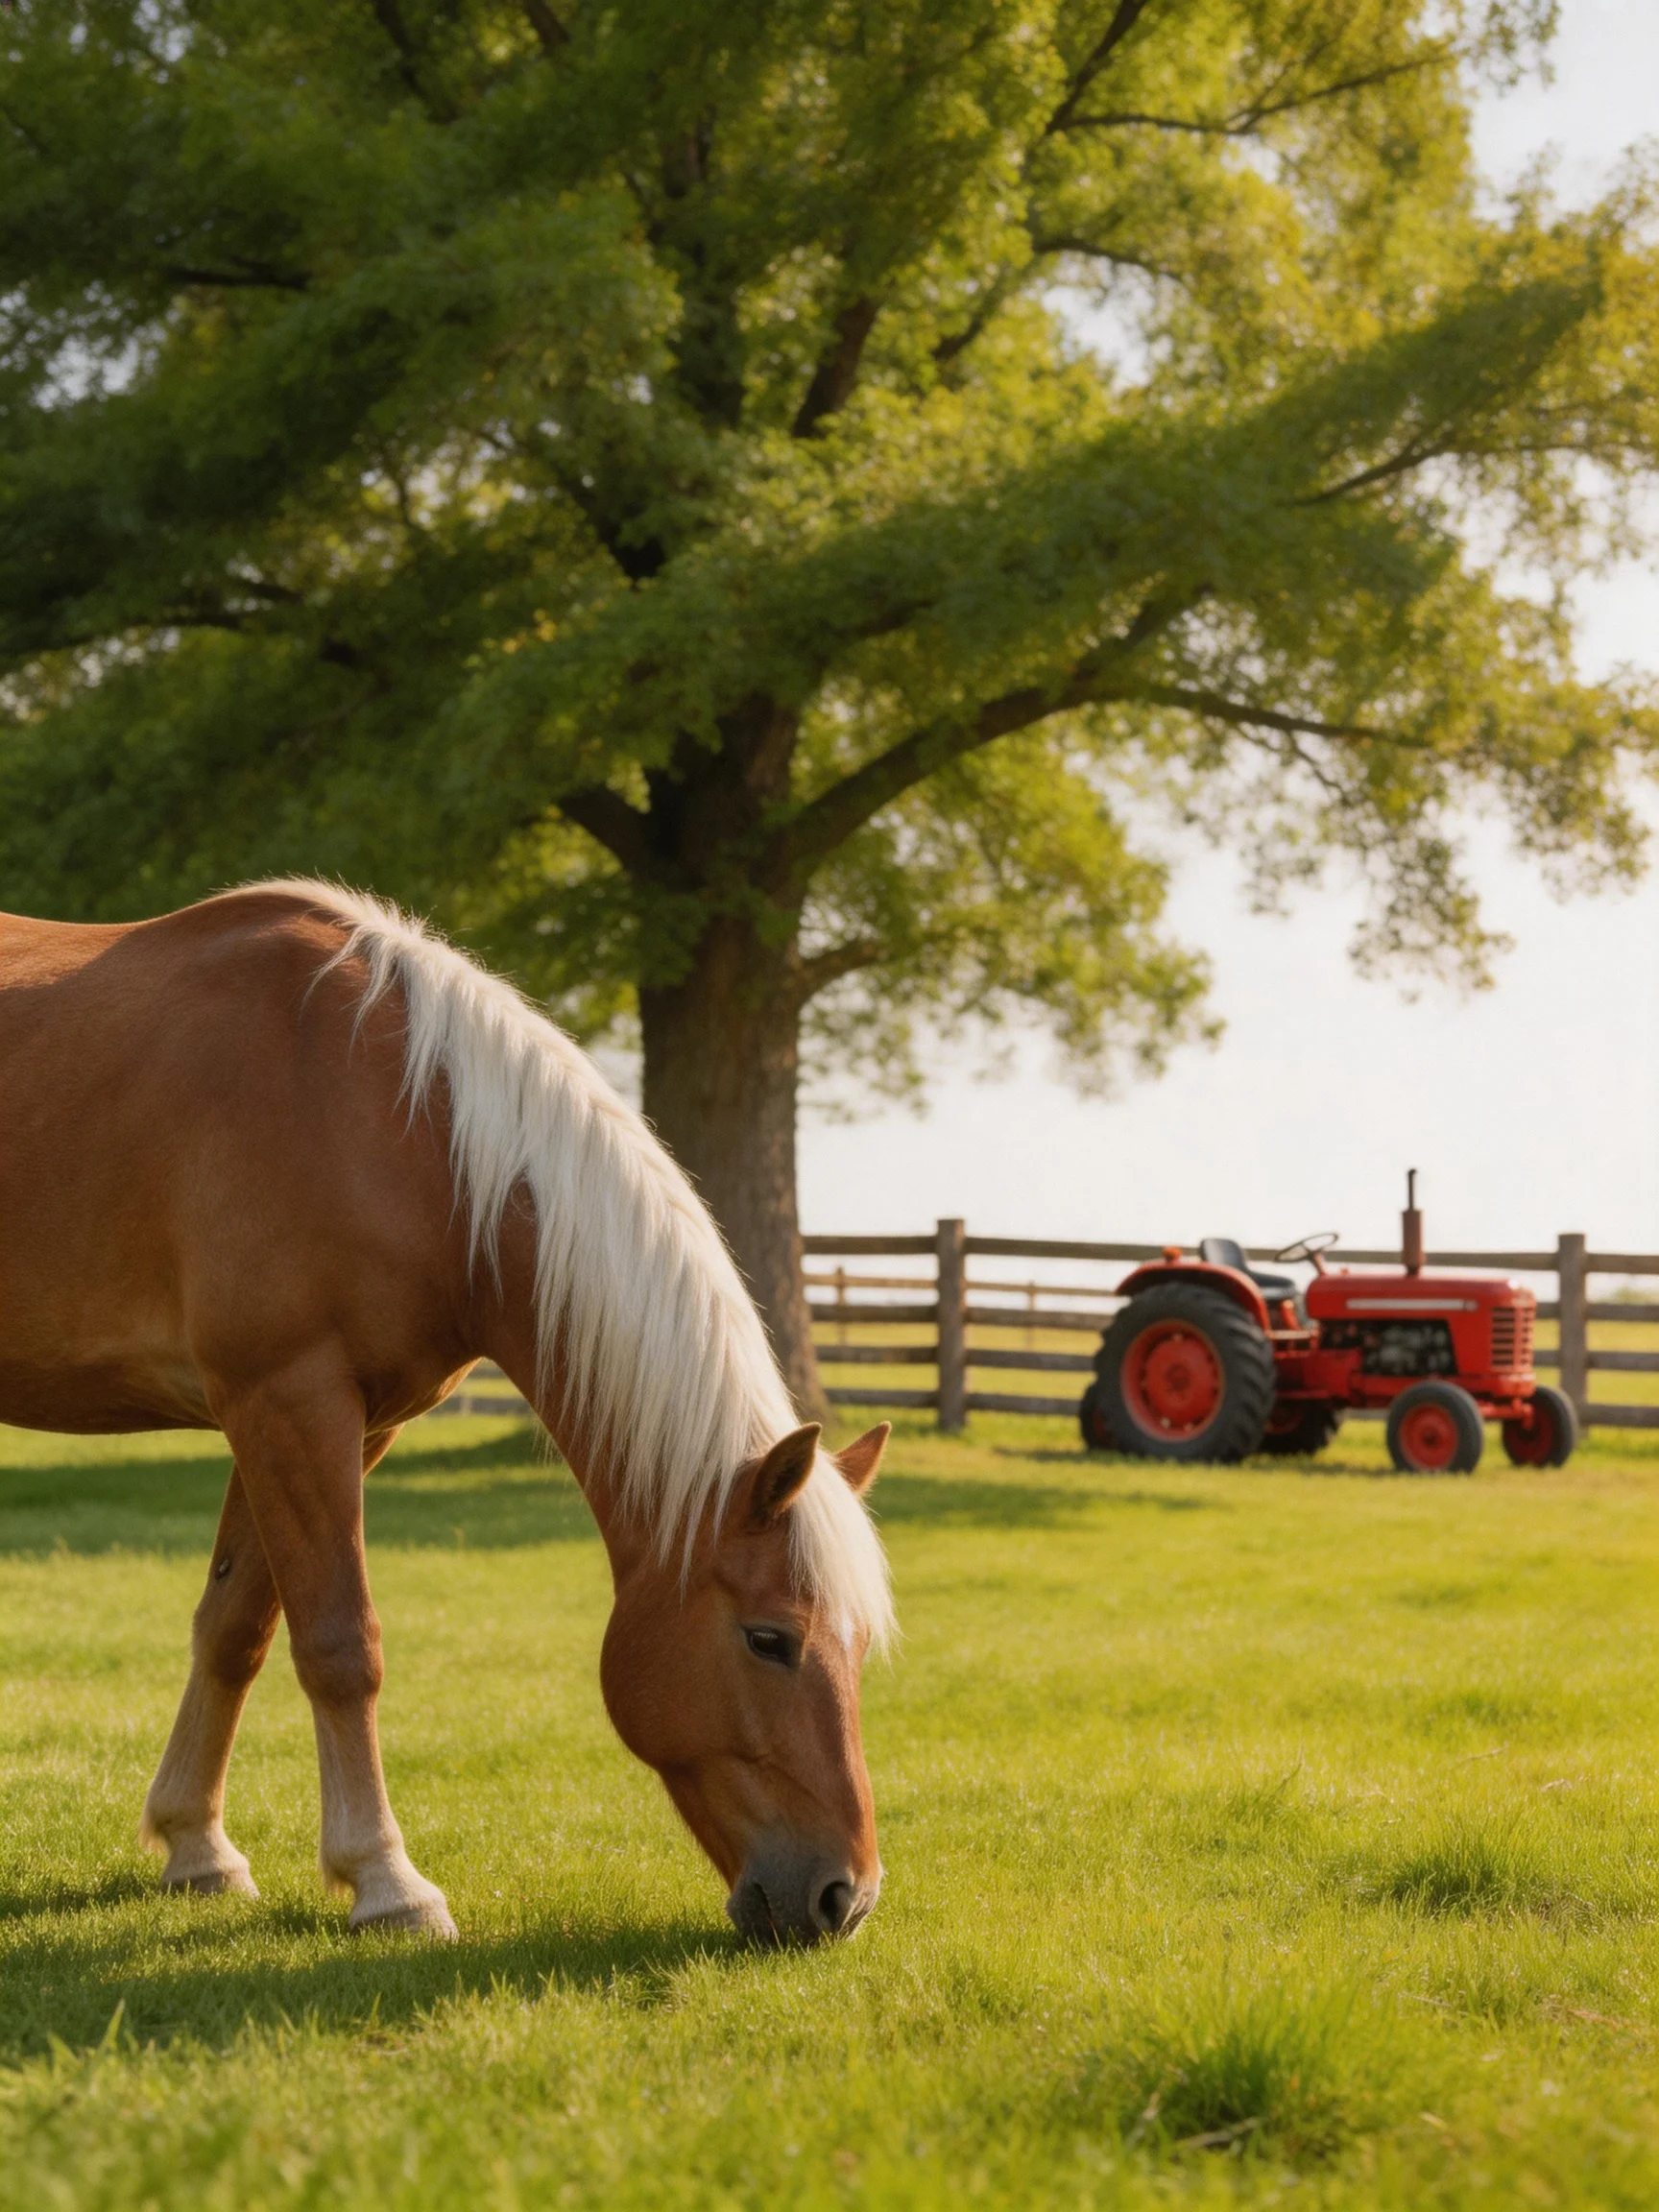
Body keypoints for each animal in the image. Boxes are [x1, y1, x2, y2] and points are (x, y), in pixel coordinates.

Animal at [0, 881, 893, 1943]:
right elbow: (340, 1644)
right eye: (770, 1639)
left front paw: (198, 1848)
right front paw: (387, 1882)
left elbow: (235, 1628)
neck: (393, 1117)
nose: (844, 1896)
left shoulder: (335, 1421)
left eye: (856, 1643)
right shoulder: (288, 1401)